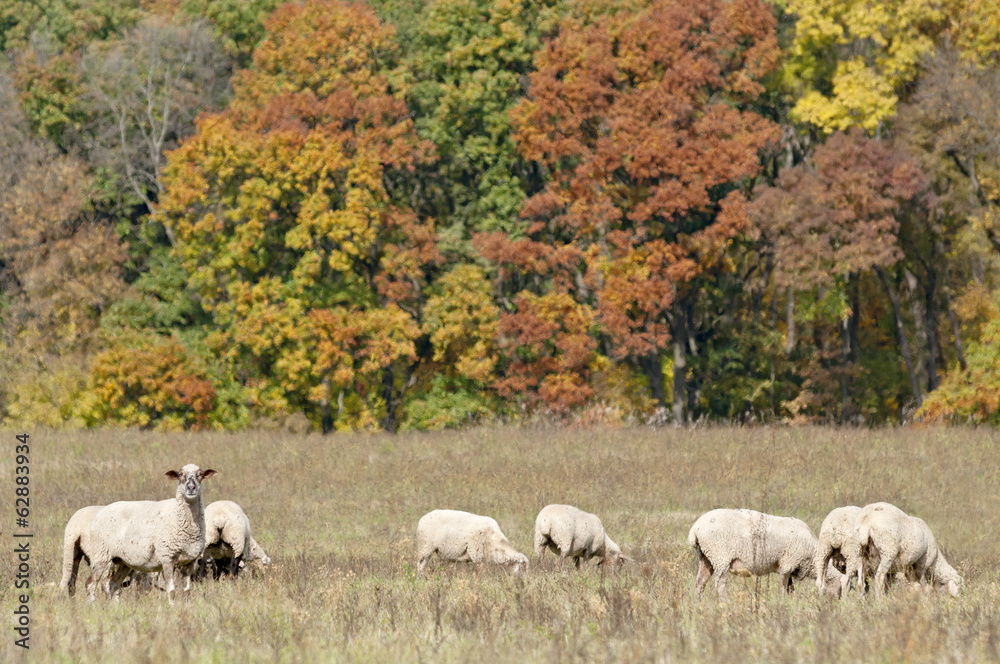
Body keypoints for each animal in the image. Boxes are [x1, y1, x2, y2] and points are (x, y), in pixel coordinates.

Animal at [86, 464, 216, 603]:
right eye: (181, 474)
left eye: (200, 474)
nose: (191, 488)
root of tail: (101, 511)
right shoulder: (167, 558)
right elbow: (171, 592)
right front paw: (172, 607)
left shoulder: (189, 561)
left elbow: (187, 592)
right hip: (100, 554)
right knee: (91, 584)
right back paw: (92, 606)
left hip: (123, 560)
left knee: (114, 584)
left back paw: (115, 606)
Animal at [688, 508, 842, 598]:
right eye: (840, 588)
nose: (836, 604)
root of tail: (695, 529)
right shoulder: (787, 564)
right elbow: (783, 587)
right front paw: (782, 602)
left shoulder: (790, 567)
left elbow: (791, 588)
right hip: (720, 556)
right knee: (720, 584)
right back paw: (725, 602)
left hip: (706, 557)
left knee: (700, 583)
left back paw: (697, 602)